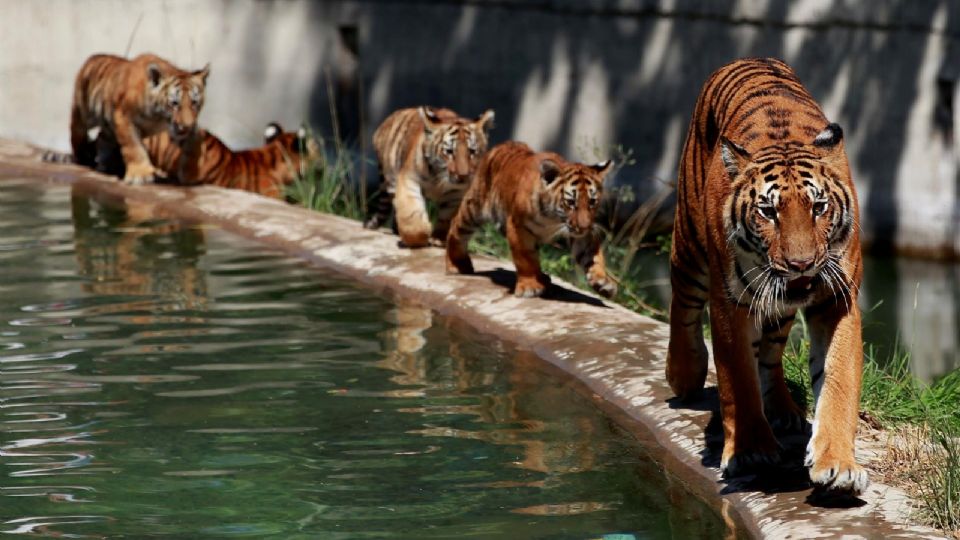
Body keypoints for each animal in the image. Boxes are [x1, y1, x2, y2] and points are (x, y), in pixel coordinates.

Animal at [68, 53, 209, 185]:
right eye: (174, 103)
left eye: (194, 103)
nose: (186, 126)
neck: (159, 117)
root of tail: (93, 57)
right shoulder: (123, 118)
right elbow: (133, 146)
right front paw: (140, 175)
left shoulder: (180, 127)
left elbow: (194, 143)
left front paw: (192, 174)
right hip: (83, 111)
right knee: (76, 129)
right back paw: (83, 157)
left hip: (108, 127)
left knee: (102, 137)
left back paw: (106, 164)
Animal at [364, 106, 495, 247]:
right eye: (449, 151)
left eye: (472, 151)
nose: (463, 175)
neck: (438, 175)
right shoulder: (409, 180)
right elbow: (411, 213)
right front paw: (420, 237)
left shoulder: (456, 193)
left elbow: (446, 217)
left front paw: (438, 239)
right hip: (391, 178)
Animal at [445, 141, 616, 299]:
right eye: (571, 202)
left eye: (592, 201)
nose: (584, 226)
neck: (553, 219)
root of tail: (501, 145)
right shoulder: (518, 227)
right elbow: (525, 259)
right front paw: (530, 286)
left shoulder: (580, 234)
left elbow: (593, 256)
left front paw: (603, 281)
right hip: (473, 207)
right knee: (456, 227)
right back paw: (455, 265)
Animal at [666, 57, 866, 495]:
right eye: (768, 211)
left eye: (818, 207)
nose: (801, 264)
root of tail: (747, 59)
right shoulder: (728, 302)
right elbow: (737, 379)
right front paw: (751, 450)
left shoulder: (837, 298)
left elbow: (838, 381)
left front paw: (838, 465)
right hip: (689, 244)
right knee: (682, 303)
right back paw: (683, 374)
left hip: (781, 306)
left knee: (772, 350)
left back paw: (783, 409)